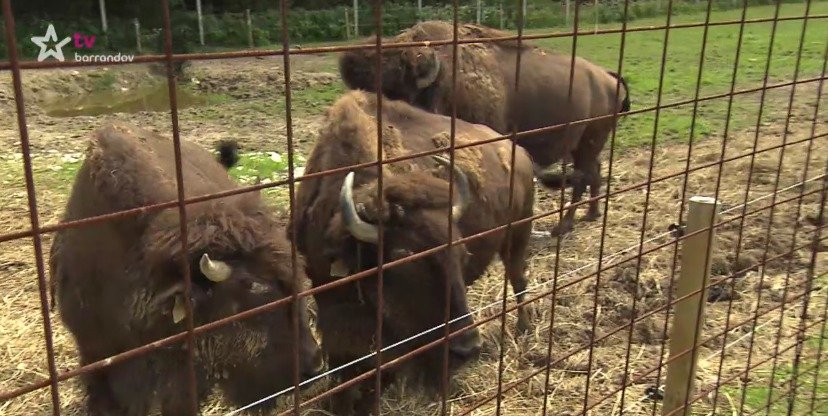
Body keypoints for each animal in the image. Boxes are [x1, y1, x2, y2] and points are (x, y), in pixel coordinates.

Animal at [290, 90, 536, 412]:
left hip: (518, 235)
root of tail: (517, 150)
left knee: (519, 280)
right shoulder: (333, 312)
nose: (468, 348)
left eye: (462, 254)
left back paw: (523, 330)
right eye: (401, 259)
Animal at [340, 21, 632, 236]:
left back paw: (564, 226)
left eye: (394, 94)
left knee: (583, 177)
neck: (442, 81)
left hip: (589, 142)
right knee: (595, 171)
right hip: (583, 144)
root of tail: (608, 78)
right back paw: (592, 214)